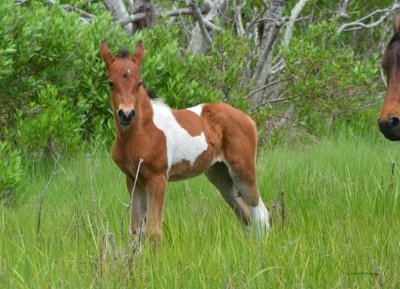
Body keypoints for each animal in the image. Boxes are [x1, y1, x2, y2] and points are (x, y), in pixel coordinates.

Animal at [100, 41, 270, 243]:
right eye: (111, 83)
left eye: (139, 82)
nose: (126, 115)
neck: (143, 131)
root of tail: (248, 119)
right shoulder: (134, 180)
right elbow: (135, 232)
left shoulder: (158, 178)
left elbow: (153, 232)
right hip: (220, 175)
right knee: (244, 214)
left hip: (242, 170)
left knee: (259, 213)